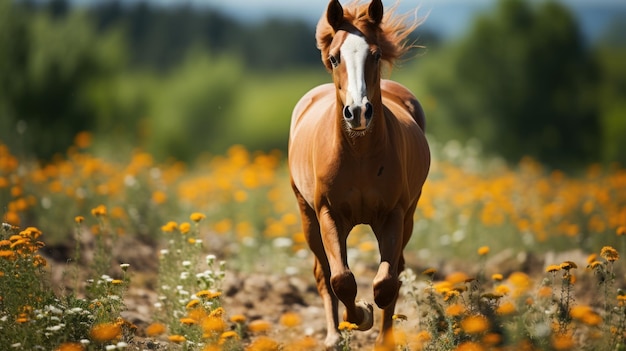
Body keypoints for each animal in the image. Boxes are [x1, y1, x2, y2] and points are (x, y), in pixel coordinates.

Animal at [288, 0, 428, 350]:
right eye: (335, 57)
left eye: (375, 55)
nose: (359, 112)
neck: (360, 154)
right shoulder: (328, 214)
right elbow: (341, 279)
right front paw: (360, 315)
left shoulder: (393, 215)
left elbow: (386, 282)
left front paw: (375, 326)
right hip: (308, 217)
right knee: (323, 274)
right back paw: (333, 336)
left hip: (408, 216)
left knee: (397, 271)